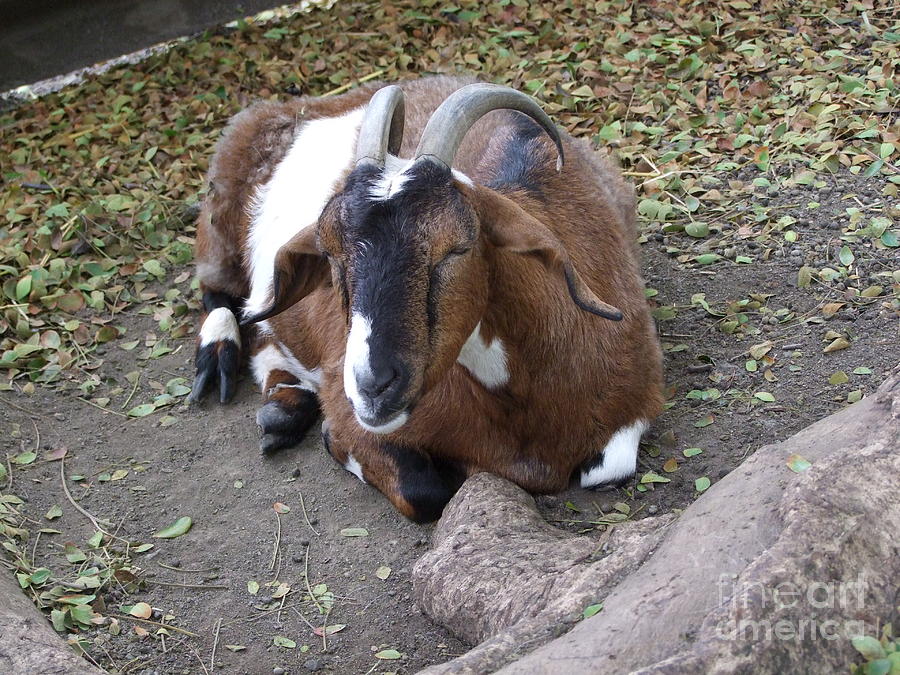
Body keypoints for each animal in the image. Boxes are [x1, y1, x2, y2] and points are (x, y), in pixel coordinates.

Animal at [191, 76, 663, 522]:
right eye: (329, 252)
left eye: (457, 247)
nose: (372, 387)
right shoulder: (351, 412)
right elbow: (425, 492)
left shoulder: (635, 401)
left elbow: (609, 466)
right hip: (222, 214)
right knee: (219, 291)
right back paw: (226, 363)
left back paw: (283, 405)